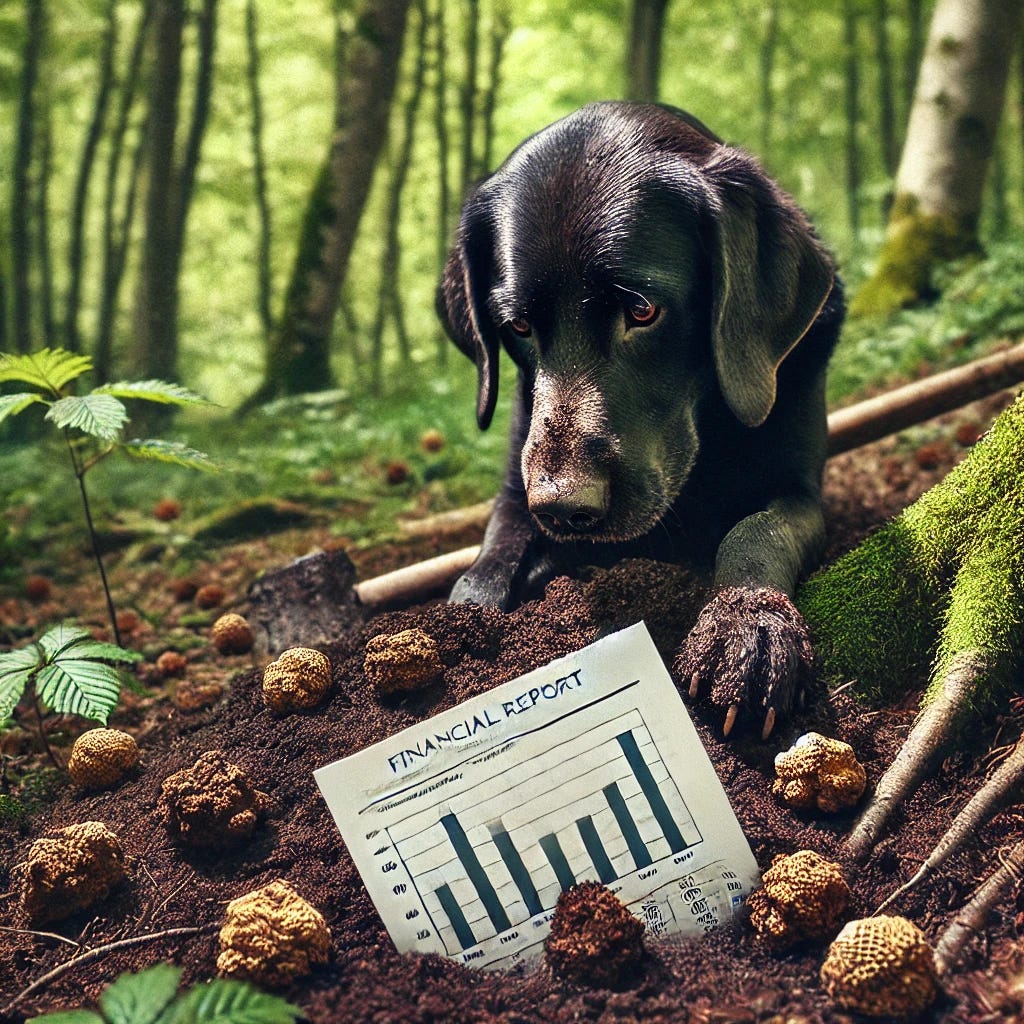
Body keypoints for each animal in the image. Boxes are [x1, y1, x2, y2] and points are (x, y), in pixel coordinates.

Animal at [436, 103, 843, 737]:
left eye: (642, 310)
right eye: (518, 327)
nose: (565, 508)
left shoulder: (800, 488)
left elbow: (756, 530)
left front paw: (747, 628)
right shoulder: (515, 492)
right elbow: (487, 565)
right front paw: (471, 617)